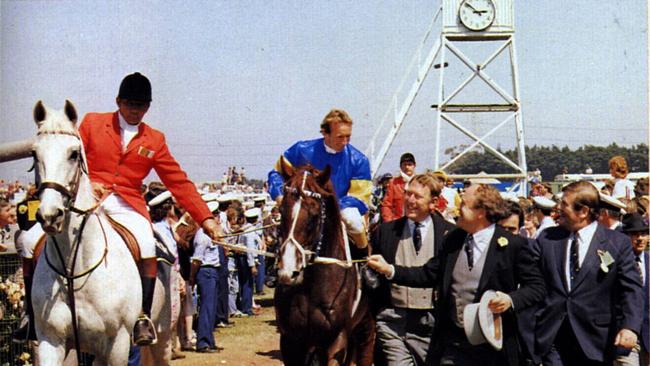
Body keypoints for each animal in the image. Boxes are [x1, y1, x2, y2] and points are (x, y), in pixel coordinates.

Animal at [31, 101, 170, 366]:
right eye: (34, 153)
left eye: (74, 154)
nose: (50, 215)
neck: (73, 271)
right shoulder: (49, 341)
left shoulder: (117, 344)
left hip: (161, 336)